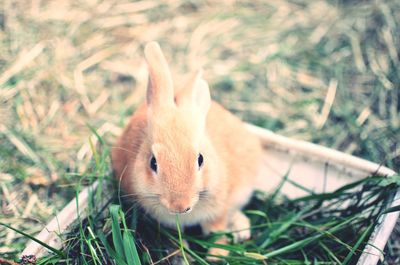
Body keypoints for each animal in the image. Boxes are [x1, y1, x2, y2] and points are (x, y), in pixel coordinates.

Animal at [111, 41, 264, 258]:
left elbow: (217, 232)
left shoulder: (219, 212)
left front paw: (216, 256)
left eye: (200, 159)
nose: (179, 206)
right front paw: (182, 253)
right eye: (153, 162)